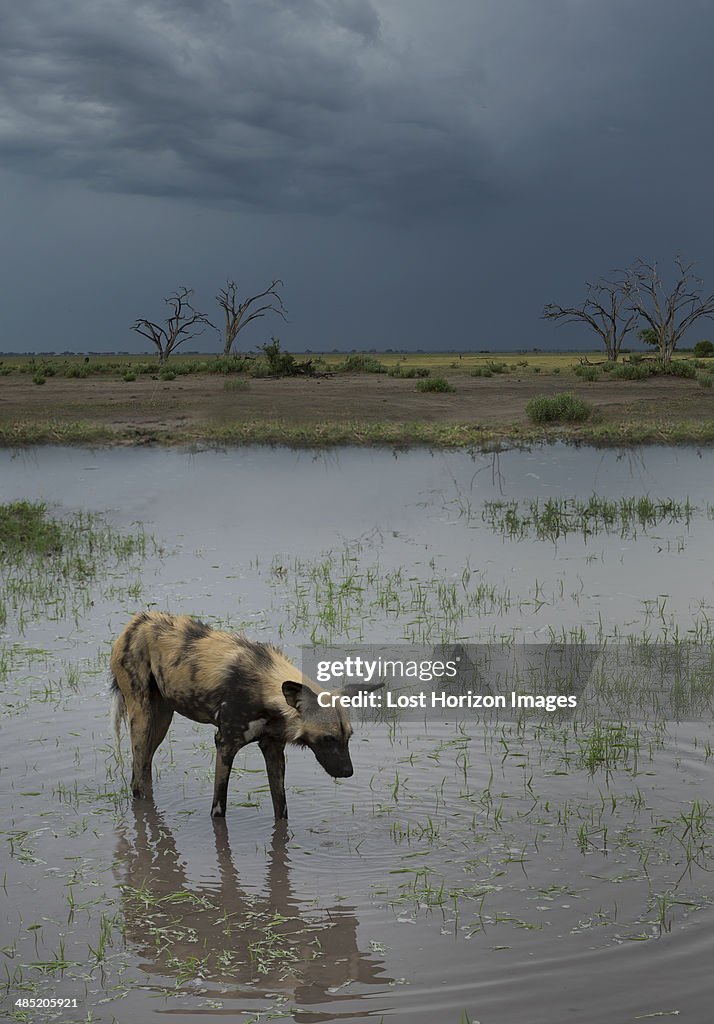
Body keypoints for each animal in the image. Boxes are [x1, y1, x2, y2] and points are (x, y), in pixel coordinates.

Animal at [111, 610, 372, 819]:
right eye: (328, 738)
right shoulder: (226, 744)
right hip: (142, 719)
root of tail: (136, 621)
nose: (347, 772)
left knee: (143, 769)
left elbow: (281, 809)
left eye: (348, 738)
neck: (265, 691)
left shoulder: (273, 748)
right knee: (137, 777)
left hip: (162, 721)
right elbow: (219, 808)